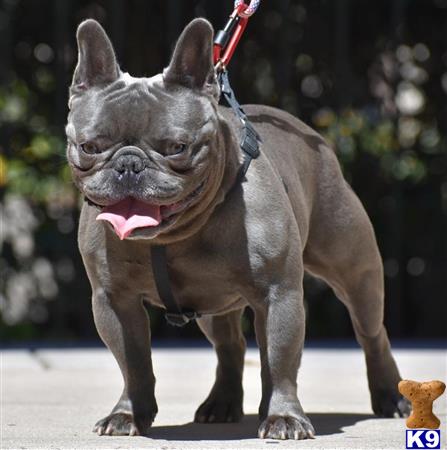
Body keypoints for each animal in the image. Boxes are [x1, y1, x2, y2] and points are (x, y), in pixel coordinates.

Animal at [65, 18, 412, 440]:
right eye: (89, 147)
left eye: (177, 147)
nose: (129, 164)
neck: (172, 237)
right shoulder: (114, 301)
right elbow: (133, 363)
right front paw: (128, 414)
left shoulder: (279, 295)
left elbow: (279, 362)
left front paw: (283, 417)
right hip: (210, 306)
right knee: (229, 345)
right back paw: (221, 403)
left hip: (357, 272)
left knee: (371, 332)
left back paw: (390, 396)